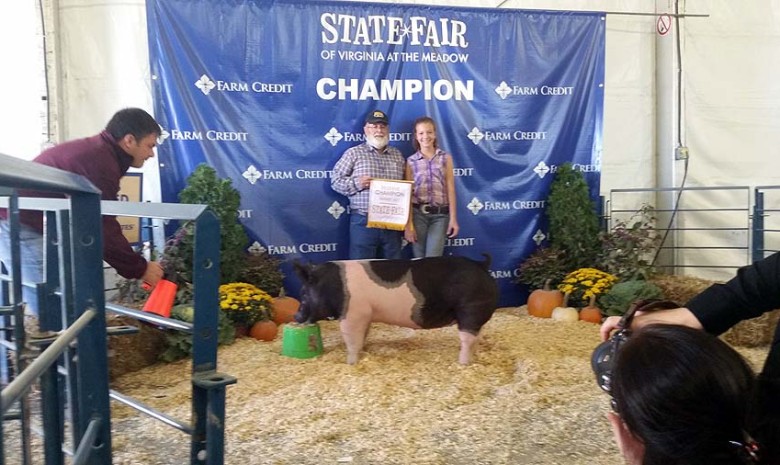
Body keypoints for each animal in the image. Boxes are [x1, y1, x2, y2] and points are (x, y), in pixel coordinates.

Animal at [292, 256, 500, 364]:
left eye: (303, 293)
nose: (296, 315)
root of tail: (482, 265)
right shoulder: (365, 315)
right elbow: (362, 336)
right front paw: (363, 351)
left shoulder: (352, 315)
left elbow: (351, 340)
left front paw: (351, 363)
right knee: (476, 337)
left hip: (470, 309)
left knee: (468, 339)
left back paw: (462, 363)